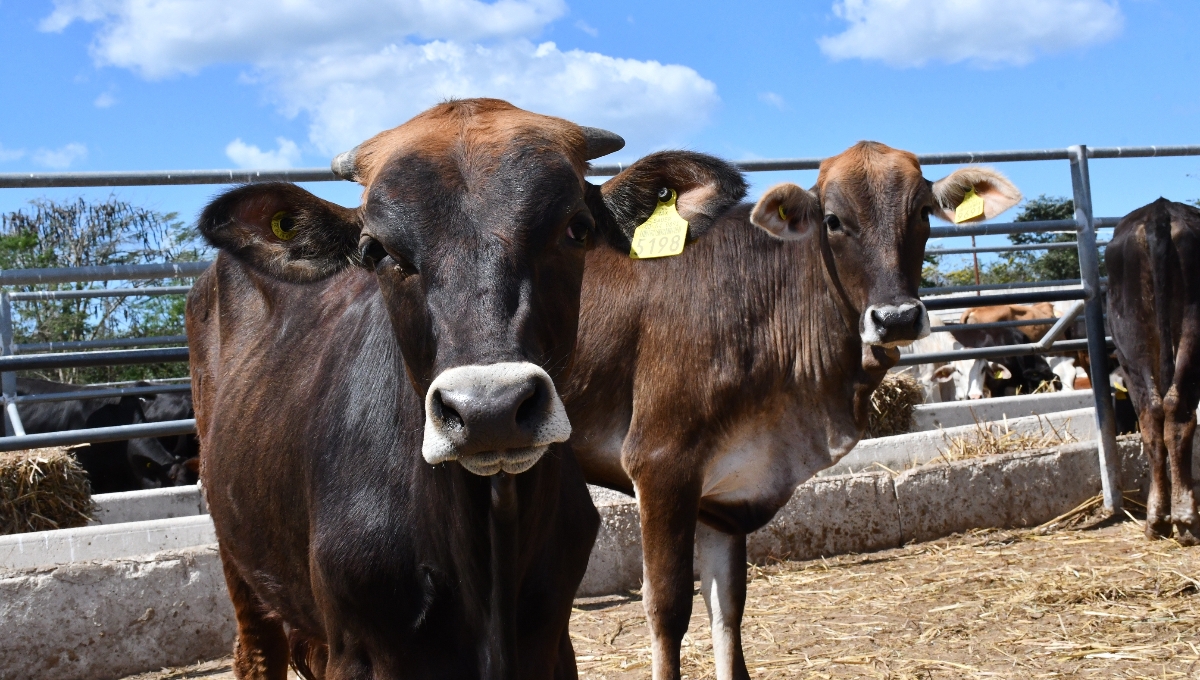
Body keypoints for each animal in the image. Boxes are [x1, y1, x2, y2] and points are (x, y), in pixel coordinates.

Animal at [186, 99, 744, 680]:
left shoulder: (553, 645)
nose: (489, 411)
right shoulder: (356, 653)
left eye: (577, 228)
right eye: (376, 249)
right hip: (238, 559)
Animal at [1104, 195, 1200, 542]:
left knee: (1154, 419)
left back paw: (1160, 518)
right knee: (1176, 415)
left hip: (1132, 348)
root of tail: (1160, 211)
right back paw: (1183, 518)